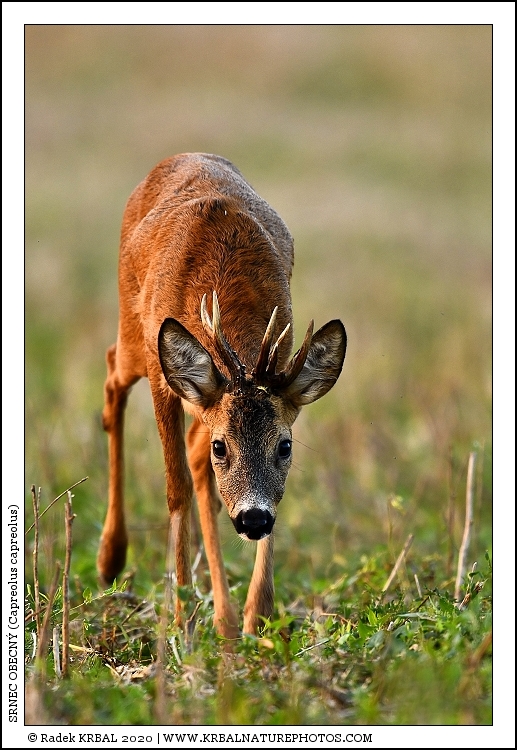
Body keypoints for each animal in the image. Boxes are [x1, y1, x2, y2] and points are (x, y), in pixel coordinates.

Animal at [97, 153, 347, 639]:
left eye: (285, 446)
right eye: (223, 447)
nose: (253, 518)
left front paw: (256, 615)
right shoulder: (162, 372)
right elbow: (175, 489)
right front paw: (180, 619)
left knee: (196, 465)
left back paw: (221, 610)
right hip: (135, 335)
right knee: (112, 375)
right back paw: (110, 558)